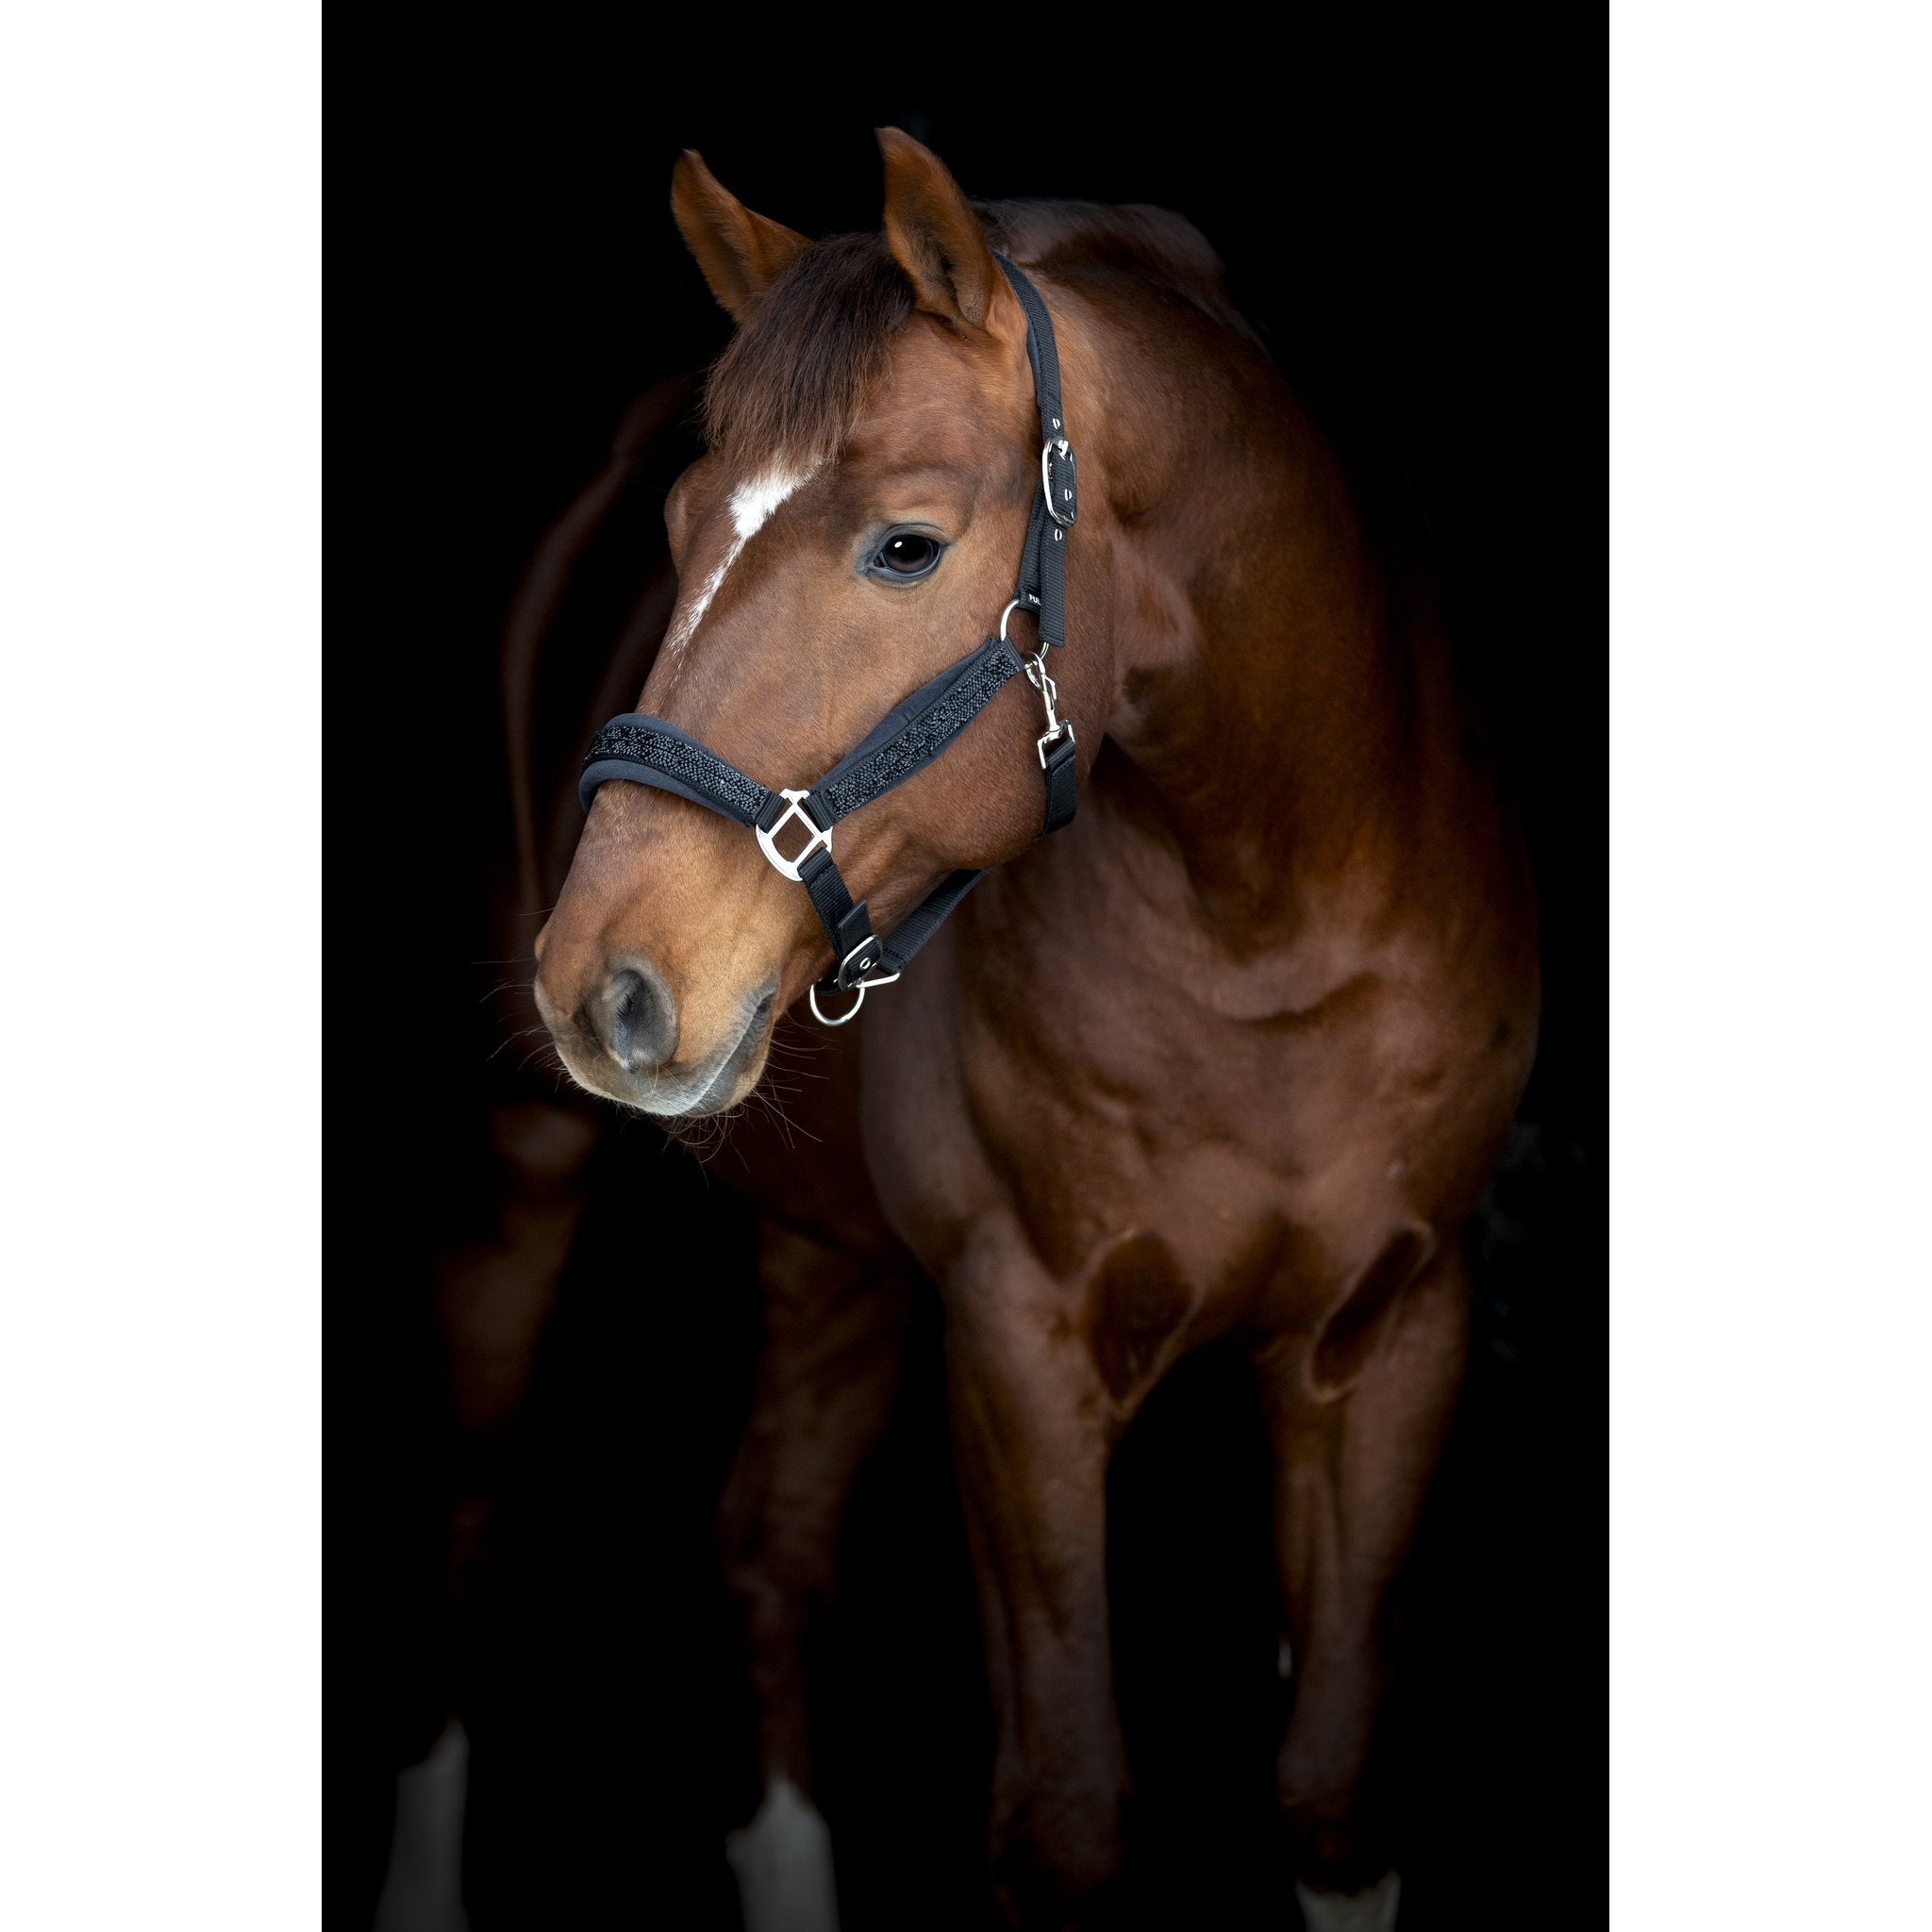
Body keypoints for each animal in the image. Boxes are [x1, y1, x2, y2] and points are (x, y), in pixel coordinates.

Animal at [531, 129, 1540, 1931]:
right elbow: (1066, 1815)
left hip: (832, 1254)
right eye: (680, 527)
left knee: (772, 1546)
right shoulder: (1018, 1347)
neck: (1263, 921)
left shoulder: (1396, 1333)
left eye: (907, 545)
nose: (602, 979)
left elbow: (1332, 1796)